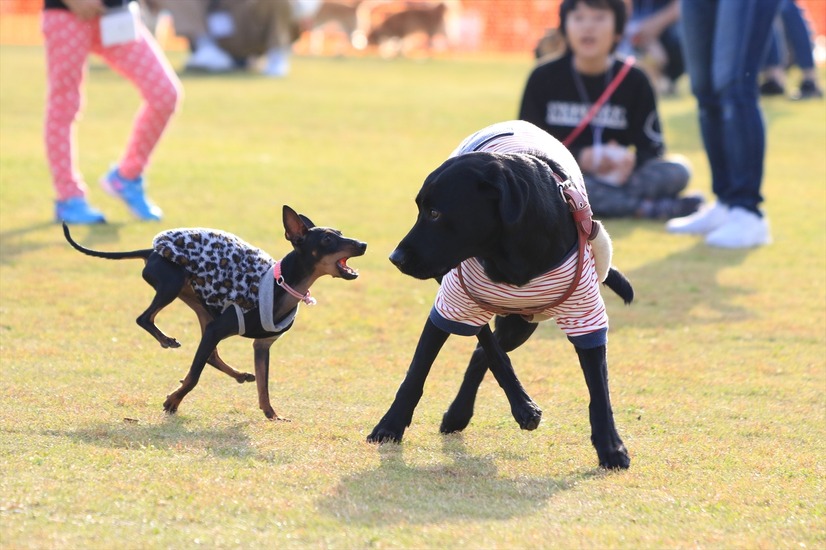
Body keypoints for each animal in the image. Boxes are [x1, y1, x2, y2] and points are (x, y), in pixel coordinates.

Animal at [61, 207, 364, 422]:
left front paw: (272, 415)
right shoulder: (219, 329)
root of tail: (153, 250)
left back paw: (240, 375)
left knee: (211, 355)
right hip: (173, 284)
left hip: (200, 304)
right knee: (145, 319)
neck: (282, 285)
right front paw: (173, 401)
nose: (363, 244)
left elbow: (264, 385)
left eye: (340, 232)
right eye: (327, 238)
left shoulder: (261, 345)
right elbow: (194, 375)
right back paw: (166, 340)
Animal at [366, 121, 632, 470]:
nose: (395, 258)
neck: (511, 256)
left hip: (524, 322)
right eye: (421, 210)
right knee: (487, 346)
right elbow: (417, 373)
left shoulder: (585, 314)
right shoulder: (451, 305)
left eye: (435, 213)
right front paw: (390, 426)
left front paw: (611, 447)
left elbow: (599, 389)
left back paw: (463, 413)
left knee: (483, 352)